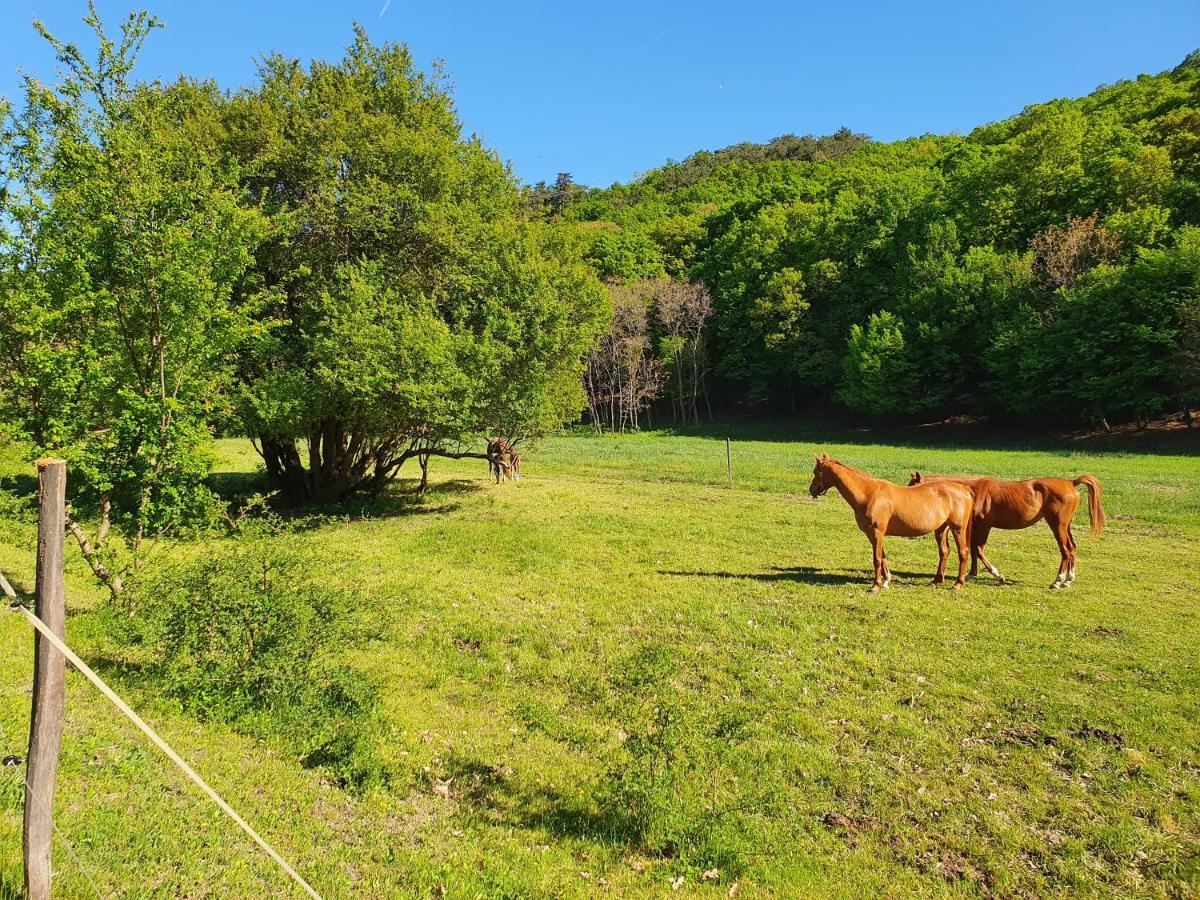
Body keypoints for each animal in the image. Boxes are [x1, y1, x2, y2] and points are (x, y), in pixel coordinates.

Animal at [811, 453, 979, 595]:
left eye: (817, 472)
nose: (812, 490)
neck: (869, 494)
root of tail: (964, 488)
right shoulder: (872, 534)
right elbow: (883, 557)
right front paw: (886, 581)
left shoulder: (877, 532)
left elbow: (877, 559)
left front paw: (875, 586)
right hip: (941, 529)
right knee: (944, 552)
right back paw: (935, 581)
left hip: (958, 528)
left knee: (963, 552)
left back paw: (958, 583)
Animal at [907, 472, 1104, 592]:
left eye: (912, 484)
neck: (972, 491)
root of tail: (1071, 483)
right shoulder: (975, 526)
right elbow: (974, 550)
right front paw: (972, 573)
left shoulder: (984, 525)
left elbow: (978, 549)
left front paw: (997, 574)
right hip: (1065, 526)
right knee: (1073, 547)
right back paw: (1069, 579)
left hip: (1058, 525)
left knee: (1066, 550)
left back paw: (1058, 580)